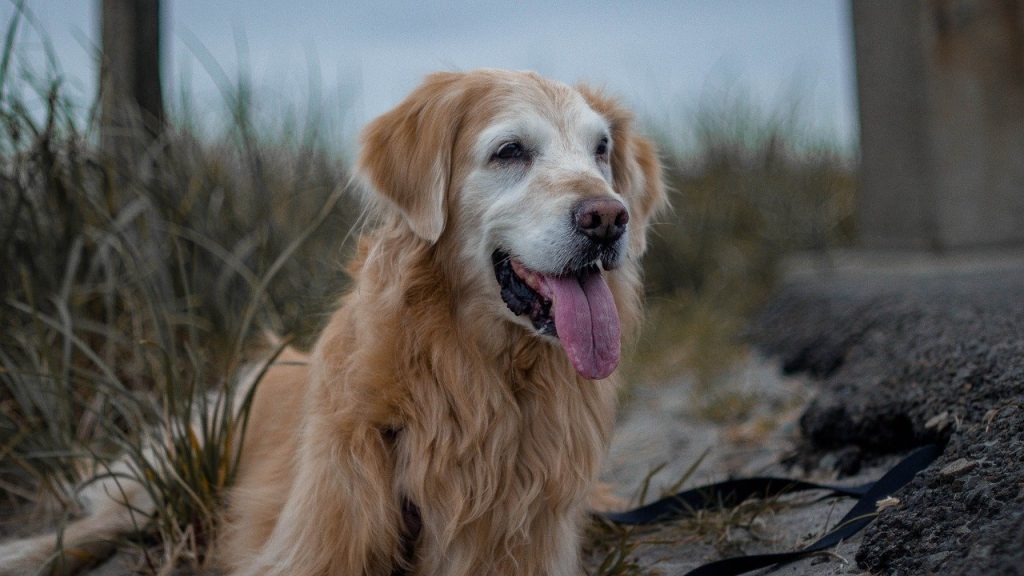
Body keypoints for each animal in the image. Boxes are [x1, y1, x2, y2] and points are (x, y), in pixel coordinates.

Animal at [0, 68, 663, 573]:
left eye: (601, 151)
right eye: (510, 151)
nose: (609, 218)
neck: (475, 375)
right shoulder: (309, 546)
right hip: (181, 453)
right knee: (106, 517)